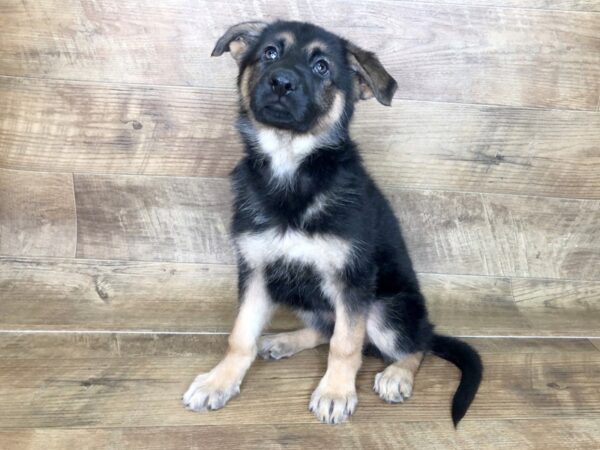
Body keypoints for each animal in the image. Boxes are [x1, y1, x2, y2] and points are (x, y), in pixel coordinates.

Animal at [183, 20, 482, 426]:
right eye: (270, 53)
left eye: (322, 67)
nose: (281, 82)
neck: (291, 167)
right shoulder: (257, 270)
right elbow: (240, 335)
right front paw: (220, 380)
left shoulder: (352, 280)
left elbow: (345, 344)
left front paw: (336, 392)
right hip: (296, 290)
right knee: (323, 327)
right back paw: (285, 340)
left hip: (385, 311)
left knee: (414, 344)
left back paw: (397, 374)